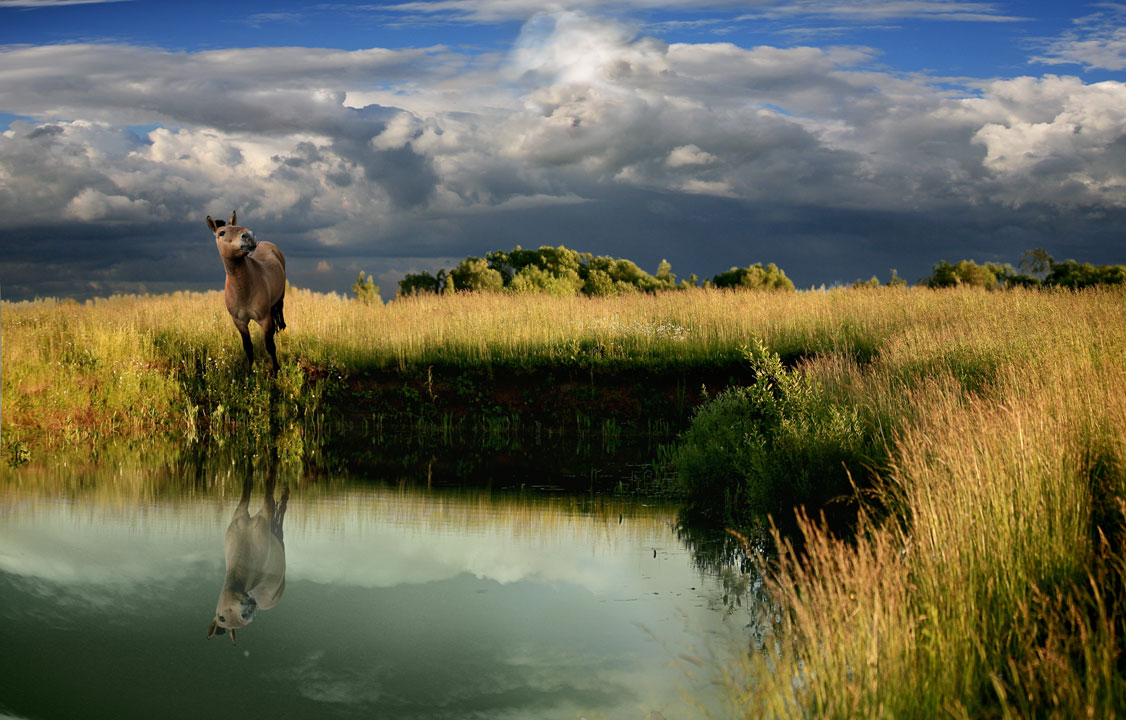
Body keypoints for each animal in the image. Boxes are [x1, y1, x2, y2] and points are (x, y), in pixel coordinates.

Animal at [206, 475, 288, 644]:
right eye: (222, 618)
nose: (249, 612)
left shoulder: (264, 513)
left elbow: (267, 487)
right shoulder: (242, 510)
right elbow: (246, 491)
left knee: (281, 513)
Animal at [208, 209, 288, 371]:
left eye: (236, 226)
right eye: (221, 233)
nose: (249, 236)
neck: (244, 290)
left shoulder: (265, 320)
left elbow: (270, 346)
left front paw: (276, 370)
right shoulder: (239, 322)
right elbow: (248, 347)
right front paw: (251, 371)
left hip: (280, 297)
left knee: (280, 312)